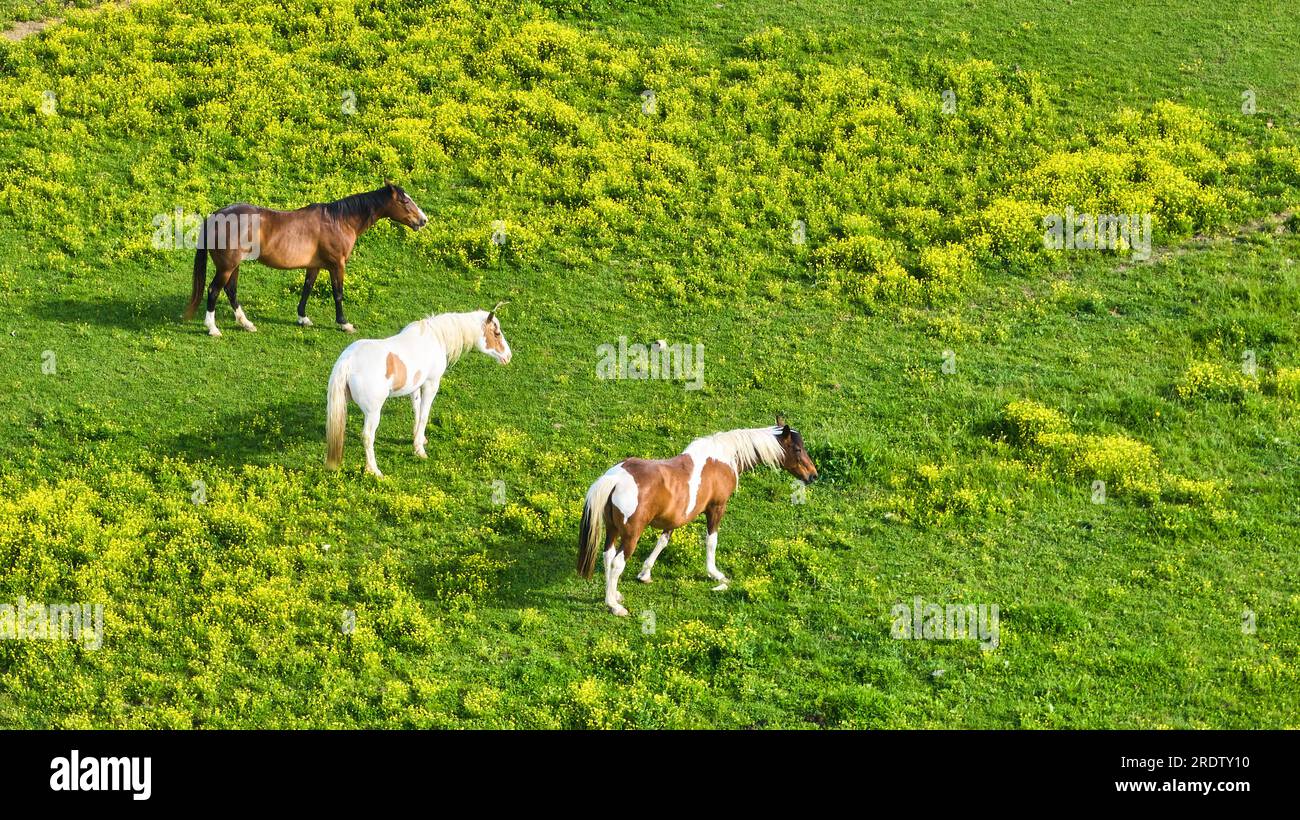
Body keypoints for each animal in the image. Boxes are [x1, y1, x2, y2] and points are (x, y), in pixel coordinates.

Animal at [182, 182, 428, 336]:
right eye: (405, 202)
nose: (423, 220)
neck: (340, 221)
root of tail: (215, 216)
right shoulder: (337, 265)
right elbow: (338, 293)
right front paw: (344, 323)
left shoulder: (315, 266)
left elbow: (307, 289)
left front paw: (302, 318)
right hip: (227, 266)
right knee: (214, 290)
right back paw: (213, 328)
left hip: (233, 266)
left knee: (231, 291)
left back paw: (246, 323)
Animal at [325, 304, 512, 477]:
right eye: (497, 333)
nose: (508, 357)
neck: (435, 337)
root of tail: (348, 360)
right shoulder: (431, 384)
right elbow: (424, 415)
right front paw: (419, 450)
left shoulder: (415, 386)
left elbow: (416, 410)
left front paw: (418, 438)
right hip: (373, 412)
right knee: (367, 436)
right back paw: (374, 470)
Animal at [577, 420, 819, 616]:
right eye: (798, 449)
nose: (813, 475)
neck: (723, 458)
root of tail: (616, 477)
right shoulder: (716, 508)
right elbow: (711, 541)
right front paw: (715, 574)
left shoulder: (674, 518)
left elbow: (662, 541)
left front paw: (645, 572)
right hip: (631, 535)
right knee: (617, 562)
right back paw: (614, 605)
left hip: (612, 530)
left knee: (607, 556)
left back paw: (614, 594)